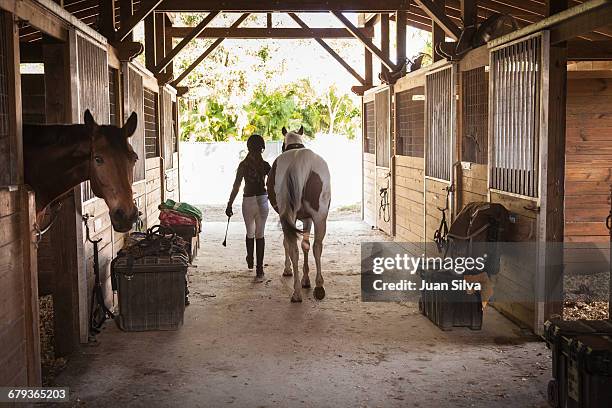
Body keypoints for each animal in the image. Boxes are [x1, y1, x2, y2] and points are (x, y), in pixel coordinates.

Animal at [266, 127, 328, 302]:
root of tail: (300, 161)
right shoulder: (308, 219)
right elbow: (306, 245)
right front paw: (306, 280)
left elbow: (288, 244)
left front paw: (289, 270)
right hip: (320, 216)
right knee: (317, 247)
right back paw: (319, 287)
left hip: (288, 216)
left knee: (293, 248)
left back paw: (296, 293)